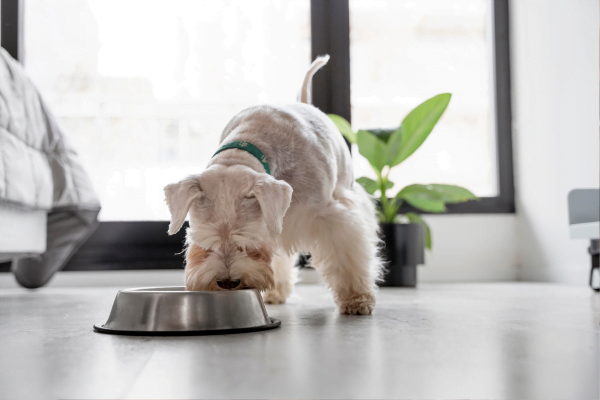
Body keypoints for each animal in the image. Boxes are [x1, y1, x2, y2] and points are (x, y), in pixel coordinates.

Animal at [162, 54, 382, 314]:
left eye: (248, 241)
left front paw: (356, 299)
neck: (246, 146)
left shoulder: (330, 216)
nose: (227, 282)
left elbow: (345, 255)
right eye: (204, 242)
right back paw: (276, 292)